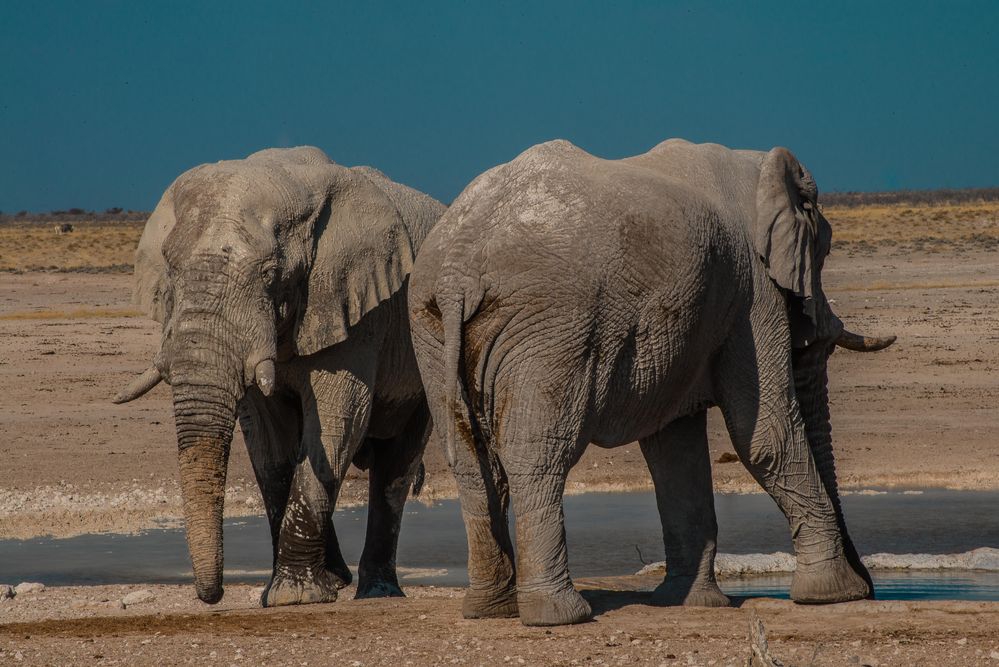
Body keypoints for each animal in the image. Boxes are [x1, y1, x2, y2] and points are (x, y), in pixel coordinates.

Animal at [113, 146, 446, 604]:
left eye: (271, 274)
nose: (212, 595)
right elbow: (270, 441)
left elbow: (338, 421)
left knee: (396, 464)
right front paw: (302, 589)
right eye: (170, 270)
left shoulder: (356, 307)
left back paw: (377, 592)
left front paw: (294, 596)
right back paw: (340, 579)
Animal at [410, 140, 896, 628]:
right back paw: (561, 616)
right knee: (538, 452)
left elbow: (675, 451)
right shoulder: (753, 292)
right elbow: (764, 436)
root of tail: (456, 271)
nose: (872, 587)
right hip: (549, 324)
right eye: (823, 253)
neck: (759, 165)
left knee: (472, 462)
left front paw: (691, 602)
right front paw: (835, 595)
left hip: (430, 327)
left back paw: (490, 610)